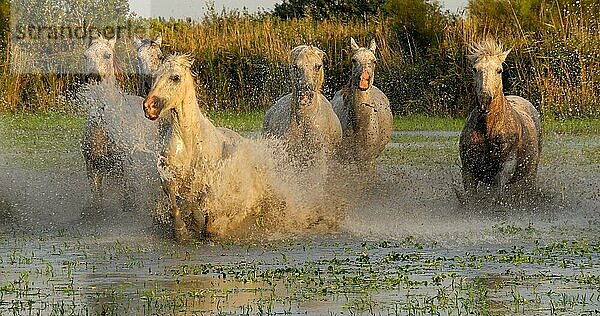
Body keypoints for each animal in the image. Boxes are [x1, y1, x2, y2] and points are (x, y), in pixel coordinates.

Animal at [330, 38, 392, 169]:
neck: (360, 126)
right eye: (354, 60)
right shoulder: (343, 160)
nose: (364, 79)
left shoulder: (368, 161)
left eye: (374, 61)